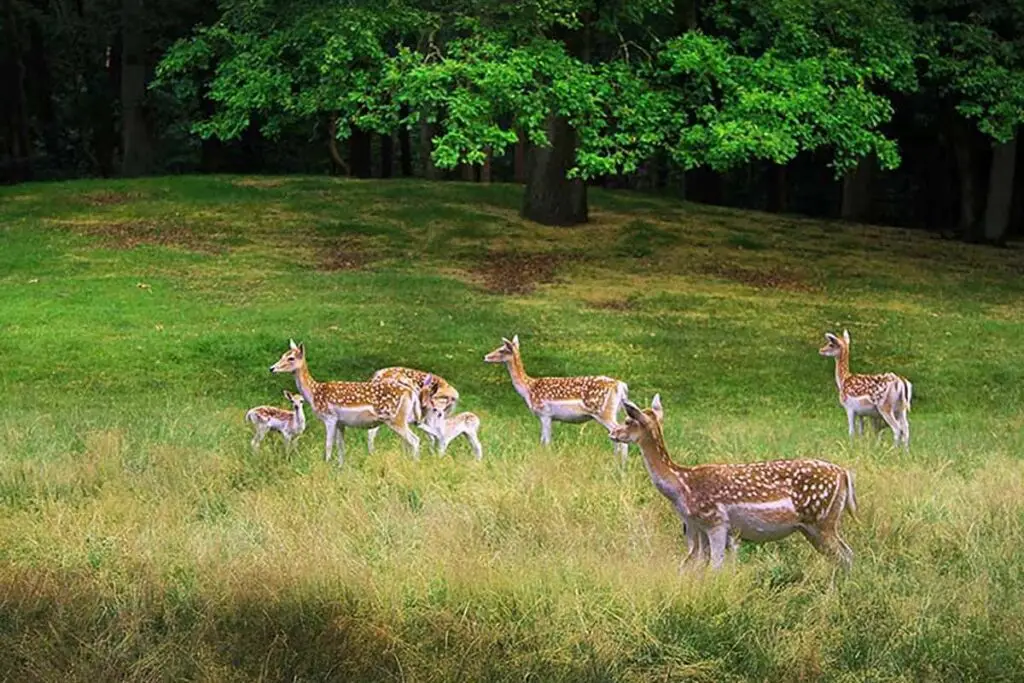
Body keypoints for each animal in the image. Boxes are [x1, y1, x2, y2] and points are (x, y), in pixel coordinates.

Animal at [269, 340, 420, 465]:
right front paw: (340, 468)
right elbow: (341, 446)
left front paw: (327, 466)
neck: (315, 393)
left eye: (291, 358)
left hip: (396, 418)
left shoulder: (330, 418)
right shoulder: (341, 422)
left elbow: (329, 445)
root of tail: (410, 392)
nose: (272, 368)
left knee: (414, 440)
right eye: (282, 355)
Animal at [484, 335, 630, 461]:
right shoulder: (547, 416)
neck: (528, 389)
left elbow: (546, 442)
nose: (486, 357)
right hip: (618, 412)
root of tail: (621, 386)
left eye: (502, 349)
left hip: (604, 412)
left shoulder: (545, 413)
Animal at [609, 395, 857, 572]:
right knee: (845, 555)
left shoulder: (715, 521)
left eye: (628, 421)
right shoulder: (699, 527)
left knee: (846, 556)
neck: (682, 486)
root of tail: (844, 474)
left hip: (823, 520)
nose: (613, 433)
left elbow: (715, 567)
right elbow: (694, 565)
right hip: (811, 527)